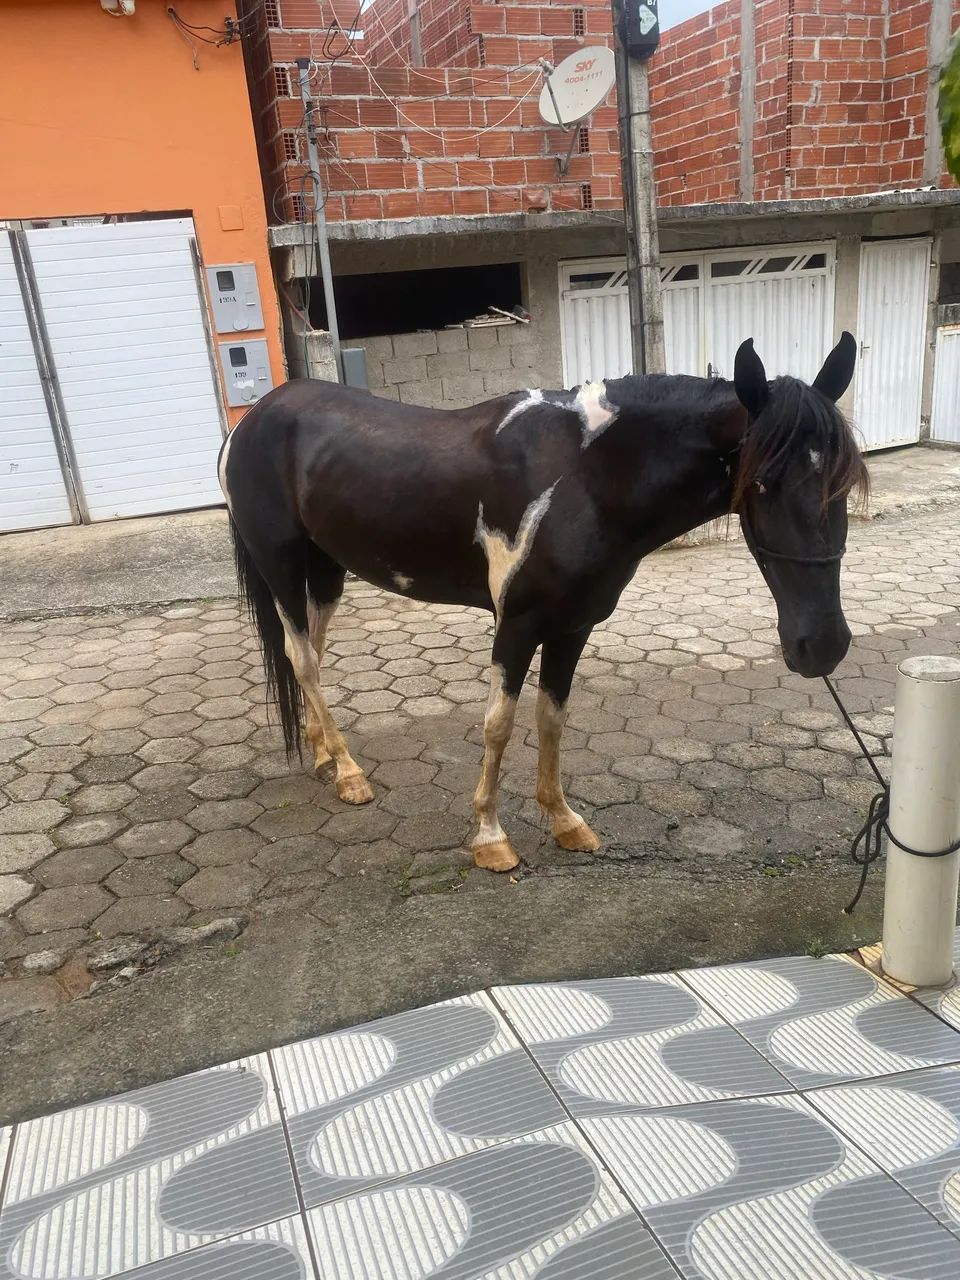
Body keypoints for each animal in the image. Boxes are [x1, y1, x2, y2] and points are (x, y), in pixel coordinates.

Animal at [219, 333, 868, 873]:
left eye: (845, 480)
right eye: (761, 482)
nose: (823, 645)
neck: (587, 476)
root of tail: (255, 417)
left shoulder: (572, 626)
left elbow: (551, 719)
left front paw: (564, 821)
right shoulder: (518, 624)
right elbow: (499, 725)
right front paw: (490, 837)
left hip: (327, 570)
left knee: (313, 652)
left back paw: (324, 754)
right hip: (281, 566)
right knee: (302, 659)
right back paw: (350, 773)